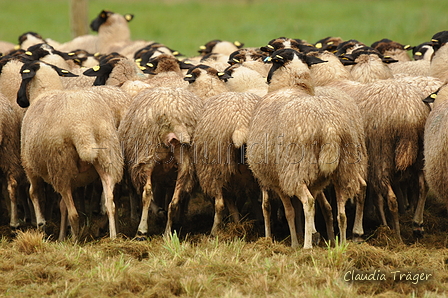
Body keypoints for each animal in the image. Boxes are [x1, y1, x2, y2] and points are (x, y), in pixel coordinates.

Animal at [16, 60, 123, 240]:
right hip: (107, 157)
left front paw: (41, 224)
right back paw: (113, 237)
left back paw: (74, 240)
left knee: (74, 213)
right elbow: (62, 205)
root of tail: (82, 126)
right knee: (110, 203)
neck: (44, 92)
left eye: (23, 77)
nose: (19, 99)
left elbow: (34, 193)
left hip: (60, 164)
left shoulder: (29, 164)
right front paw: (60, 235)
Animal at [119, 85, 203, 239]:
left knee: (147, 193)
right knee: (174, 201)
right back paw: (167, 232)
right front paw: (162, 216)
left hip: (149, 154)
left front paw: (155, 216)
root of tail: (175, 114)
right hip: (185, 162)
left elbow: (146, 193)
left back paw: (142, 230)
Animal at [245, 49, 368, 249]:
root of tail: (330, 129)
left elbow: (289, 212)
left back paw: (306, 246)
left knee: (309, 203)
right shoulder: (311, 181)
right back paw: (343, 243)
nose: (267, 78)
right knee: (342, 211)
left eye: (273, 61)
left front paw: (296, 242)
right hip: (344, 168)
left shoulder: (278, 179)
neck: (294, 85)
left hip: (295, 169)